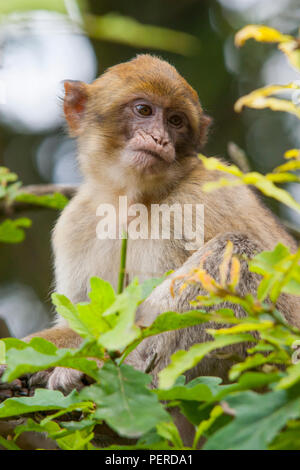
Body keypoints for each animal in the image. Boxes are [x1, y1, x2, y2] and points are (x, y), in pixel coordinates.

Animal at [0, 56, 300, 444]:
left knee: (234, 250)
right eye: (144, 110)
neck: (131, 199)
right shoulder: (75, 222)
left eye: (175, 121)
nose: (159, 138)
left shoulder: (191, 205)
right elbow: (88, 318)